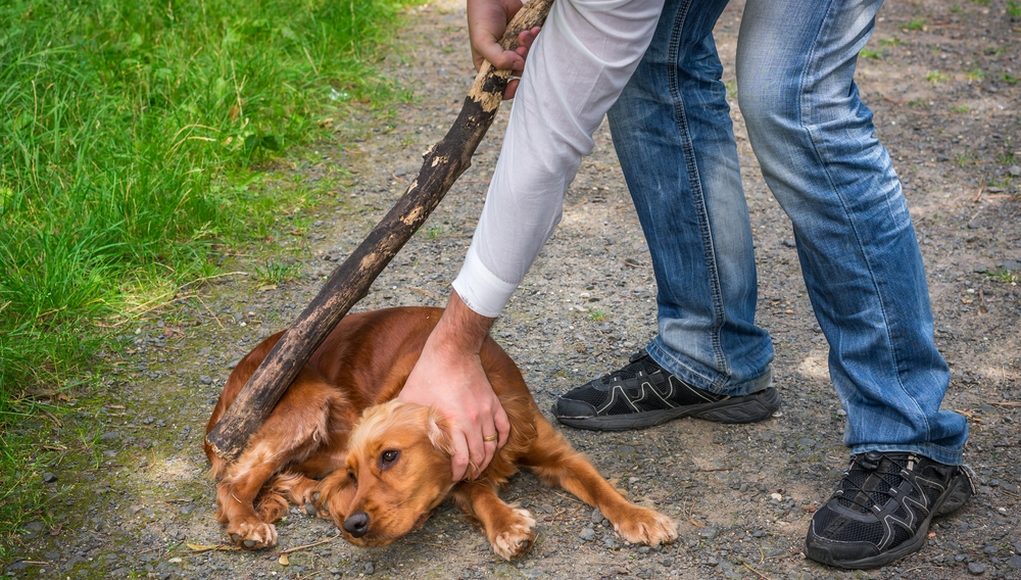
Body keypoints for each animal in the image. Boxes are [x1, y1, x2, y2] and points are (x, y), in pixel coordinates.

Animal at [205, 308, 677, 555]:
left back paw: (308, 494)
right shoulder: (461, 477)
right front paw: (508, 525)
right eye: (358, 473)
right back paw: (248, 523)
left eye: (390, 456)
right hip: (308, 405)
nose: (353, 525)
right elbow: (482, 496)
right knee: (233, 480)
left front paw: (640, 516)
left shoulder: (555, 452)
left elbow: (601, 486)